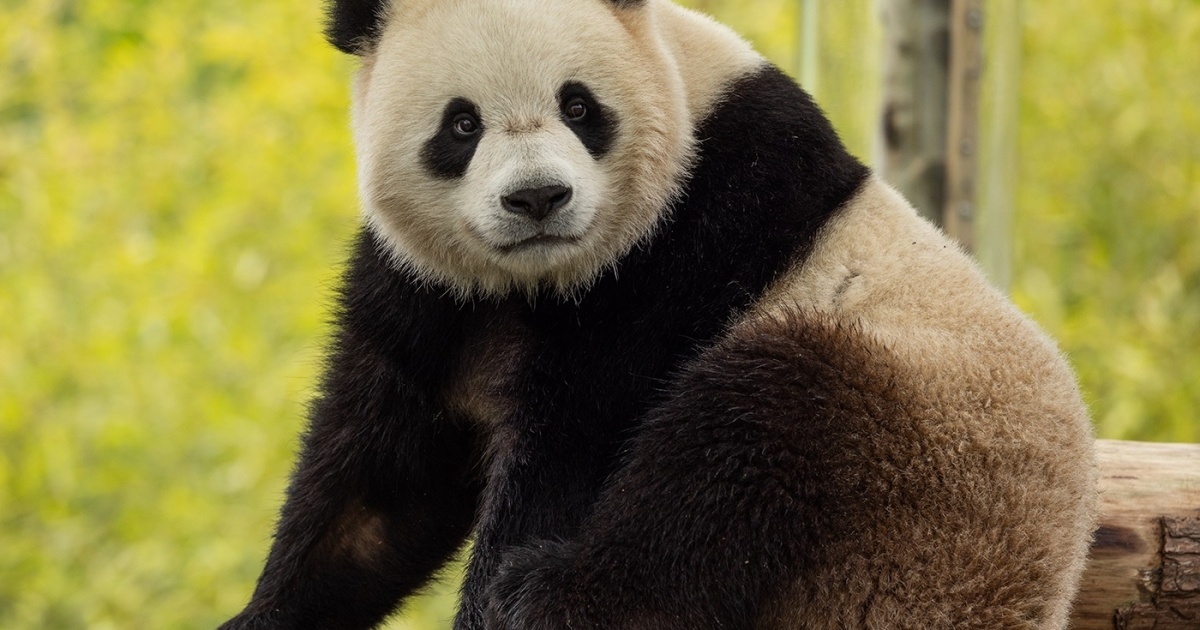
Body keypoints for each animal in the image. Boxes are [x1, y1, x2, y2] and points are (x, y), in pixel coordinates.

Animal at [222, 0, 1096, 628]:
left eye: (579, 106)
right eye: (461, 124)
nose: (538, 198)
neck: (535, 281)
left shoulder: (688, 240)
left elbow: (573, 445)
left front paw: (497, 597)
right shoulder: (430, 291)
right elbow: (380, 483)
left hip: (913, 446)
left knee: (740, 449)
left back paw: (548, 594)